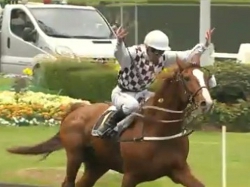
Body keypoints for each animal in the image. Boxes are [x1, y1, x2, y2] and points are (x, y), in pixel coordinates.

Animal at [6, 59, 213, 186]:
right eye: (187, 77)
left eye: (206, 77)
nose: (207, 103)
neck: (159, 129)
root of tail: (76, 110)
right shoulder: (131, 176)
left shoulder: (179, 170)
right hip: (74, 155)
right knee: (69, 182)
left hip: (98, 165)